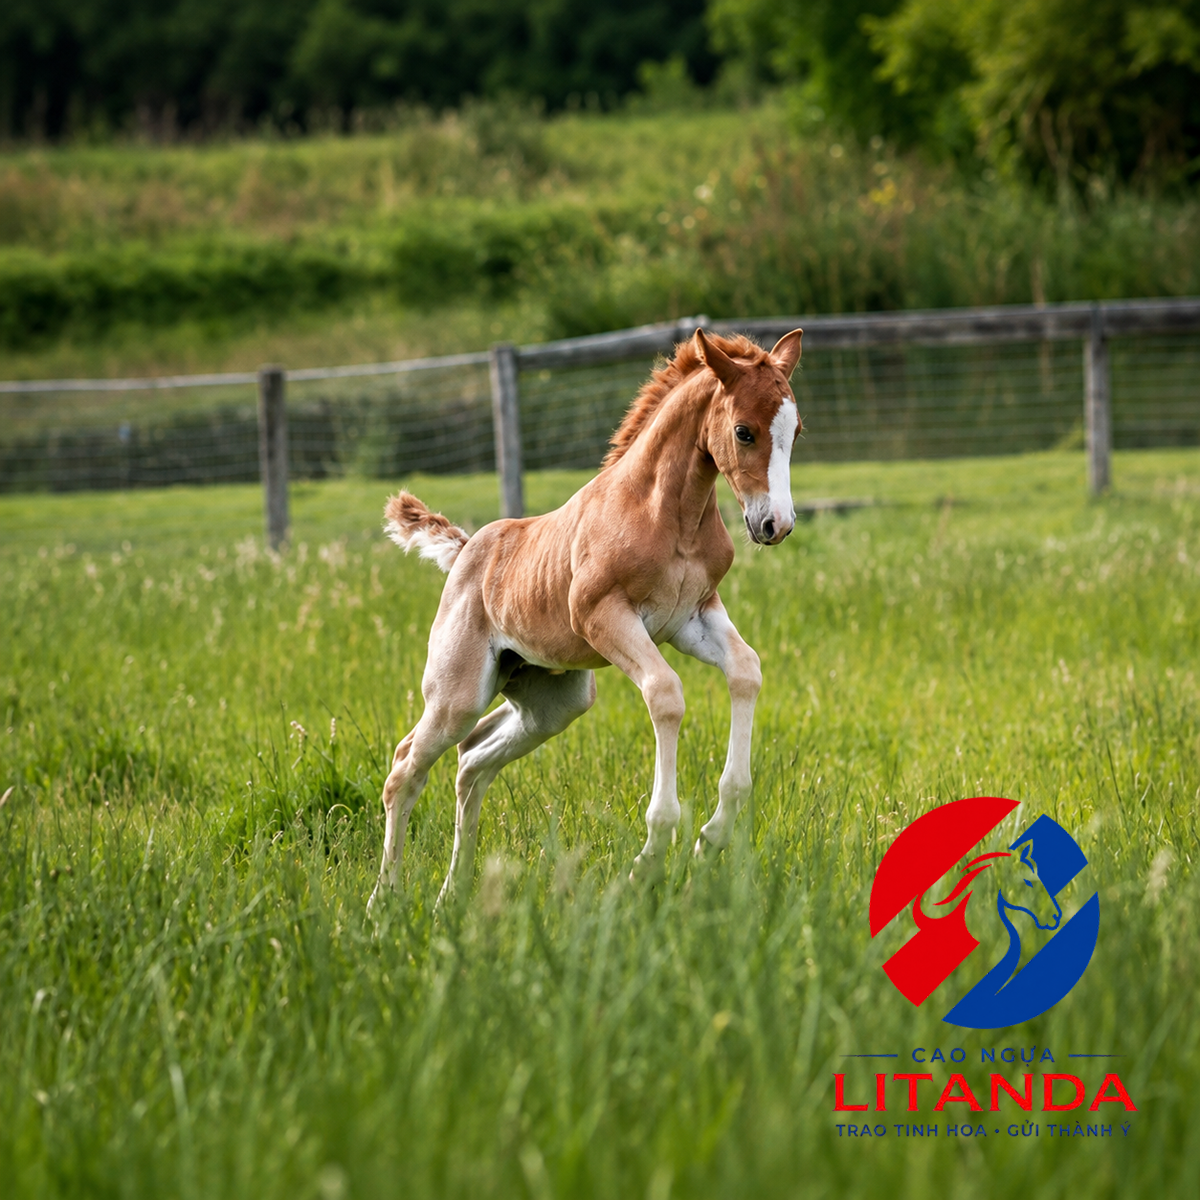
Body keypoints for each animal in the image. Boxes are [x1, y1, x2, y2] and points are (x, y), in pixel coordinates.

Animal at [368, 327, 803, 909]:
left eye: (795, 430)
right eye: (743, 431)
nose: (776, 524)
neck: (670, 515)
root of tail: (463, 551)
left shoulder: (693, 617)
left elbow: (747, 670)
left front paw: (711, 838)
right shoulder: (604, 617)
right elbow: (666, 694)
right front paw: (649, 858)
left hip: (553, 700)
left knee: (472, 760)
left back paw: (451, 895)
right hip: (456, 692)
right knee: (405, 767)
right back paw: (383, 901)